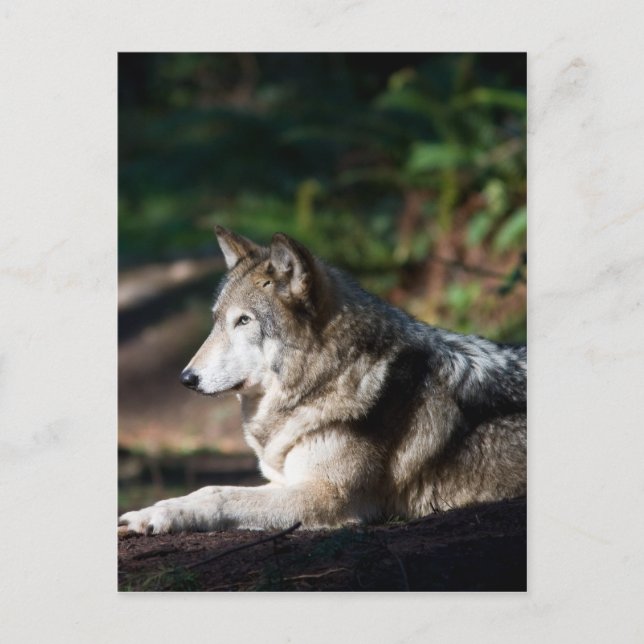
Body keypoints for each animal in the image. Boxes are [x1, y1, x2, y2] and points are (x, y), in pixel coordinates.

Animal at [119, 226, 526, 534]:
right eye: (217, 320)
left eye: (244, 321)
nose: (186, 378)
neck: (330, 377)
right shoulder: (289, 480)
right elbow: (210, 487)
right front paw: (154, 510)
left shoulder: (326, 496)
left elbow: (222, 496)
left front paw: (156, 516)